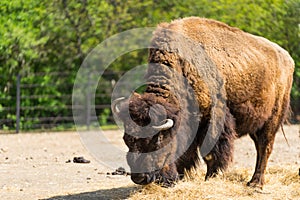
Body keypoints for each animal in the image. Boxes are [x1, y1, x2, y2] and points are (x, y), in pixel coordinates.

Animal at [111, 17, 294, 189]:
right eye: (126, 139)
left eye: (157, 140)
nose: (139, 178)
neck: (182, 66)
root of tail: (287, 58)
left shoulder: (213, 120)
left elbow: (210, 154)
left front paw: (209, 178)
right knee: (259, 146)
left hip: (273, 119)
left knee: (265, 148)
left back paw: (256, 183)